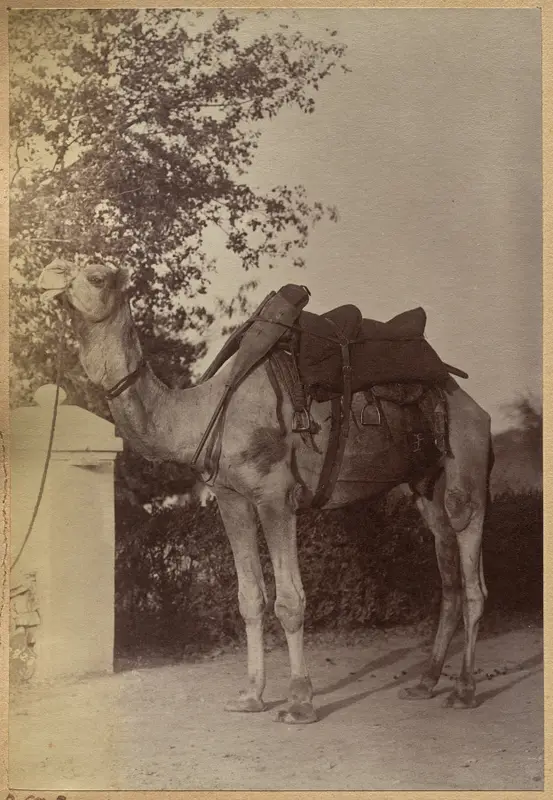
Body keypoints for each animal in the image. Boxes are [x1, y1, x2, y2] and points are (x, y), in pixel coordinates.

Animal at [38, 259, 492, 723]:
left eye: (96, 276)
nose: (46, 276)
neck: (203, 413)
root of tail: (472, 401)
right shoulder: (231, 498)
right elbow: (250, 598)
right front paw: (250, 695)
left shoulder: (276, 496)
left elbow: (289, 600)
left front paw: (299, 701)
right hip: (425, 484)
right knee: (449, 575)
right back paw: (425, 683)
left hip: (467, 464)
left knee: (473, 573)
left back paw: (464, 690)